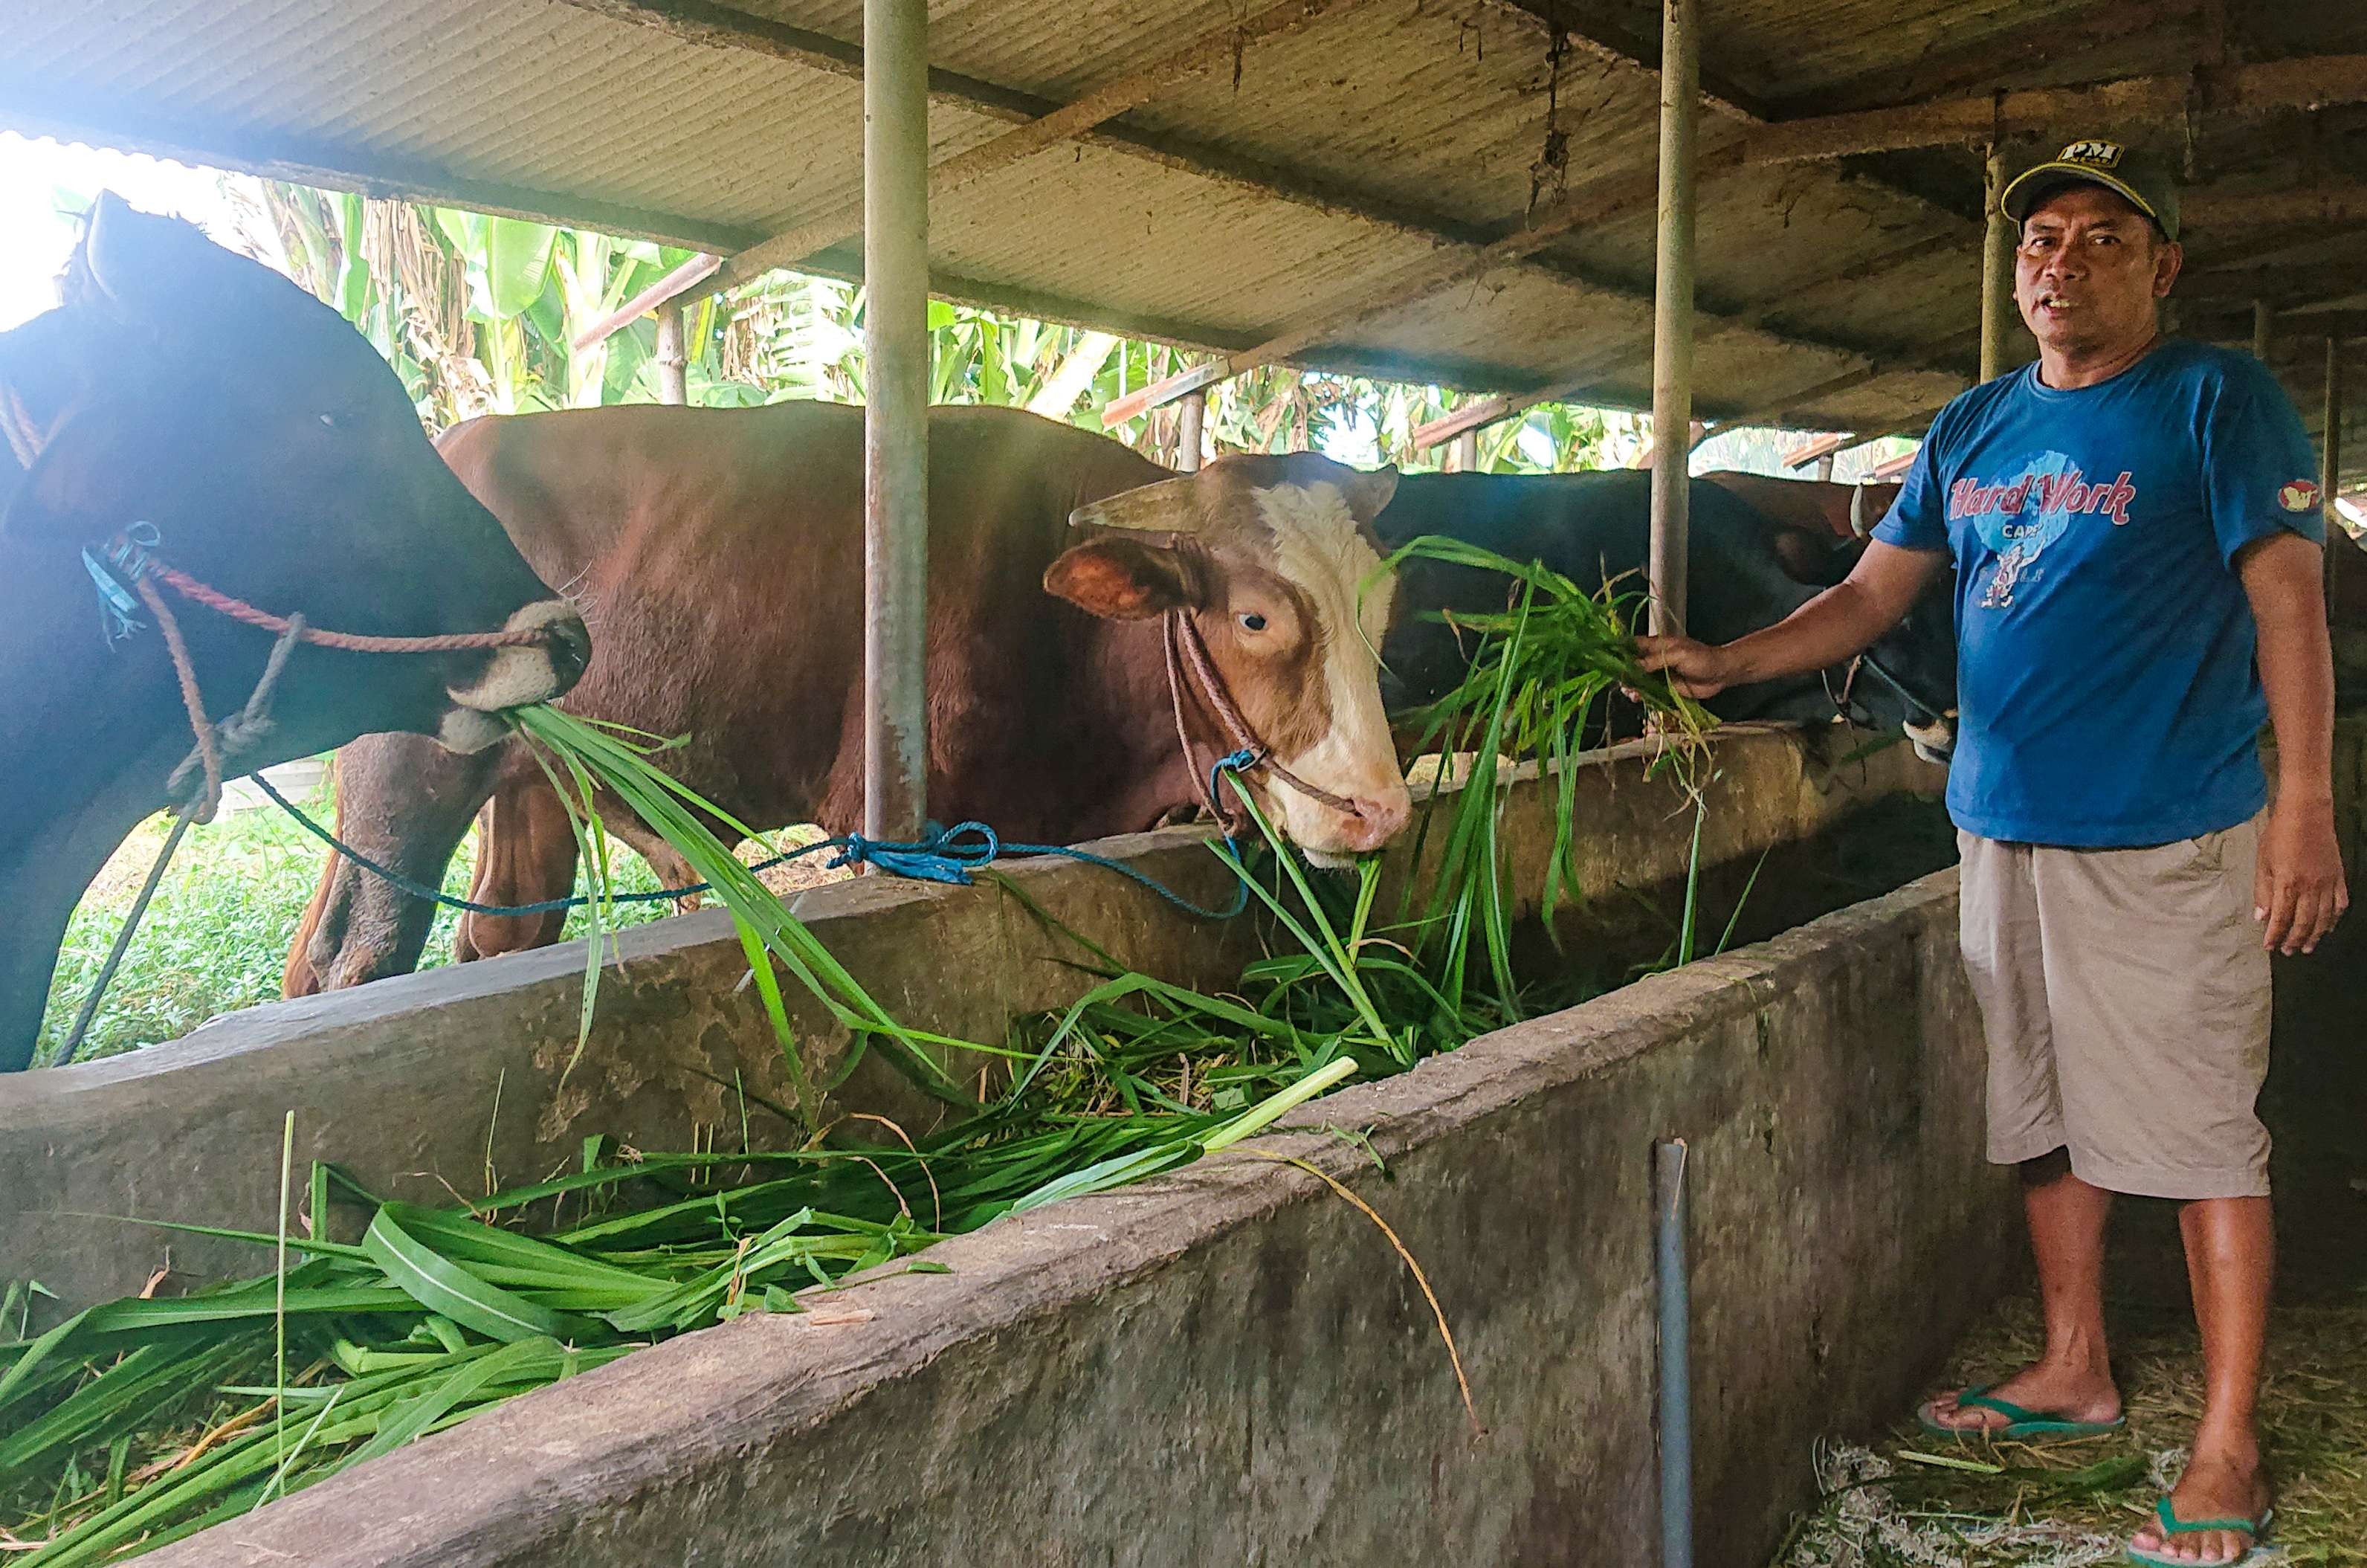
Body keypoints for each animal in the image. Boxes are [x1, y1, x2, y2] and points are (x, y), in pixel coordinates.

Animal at [286, 404, 1410, 995]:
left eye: (1385, 604)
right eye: (1256, 618)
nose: (1380, 811)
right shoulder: (909, 822)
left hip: (529, 784)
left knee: (498, 936)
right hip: (406, 780)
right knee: (351, 959)